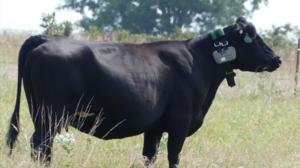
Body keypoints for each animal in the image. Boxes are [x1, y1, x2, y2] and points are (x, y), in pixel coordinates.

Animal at [7, 17, 280, 167]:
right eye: (253, 38)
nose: (276, 59)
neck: (199, 62)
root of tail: (45, 38)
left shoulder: (154, 128)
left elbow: (149, 157)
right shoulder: (179, 124)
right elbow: (173, 157)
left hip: (40, 113)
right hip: (50, 116)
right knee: (41, 146)